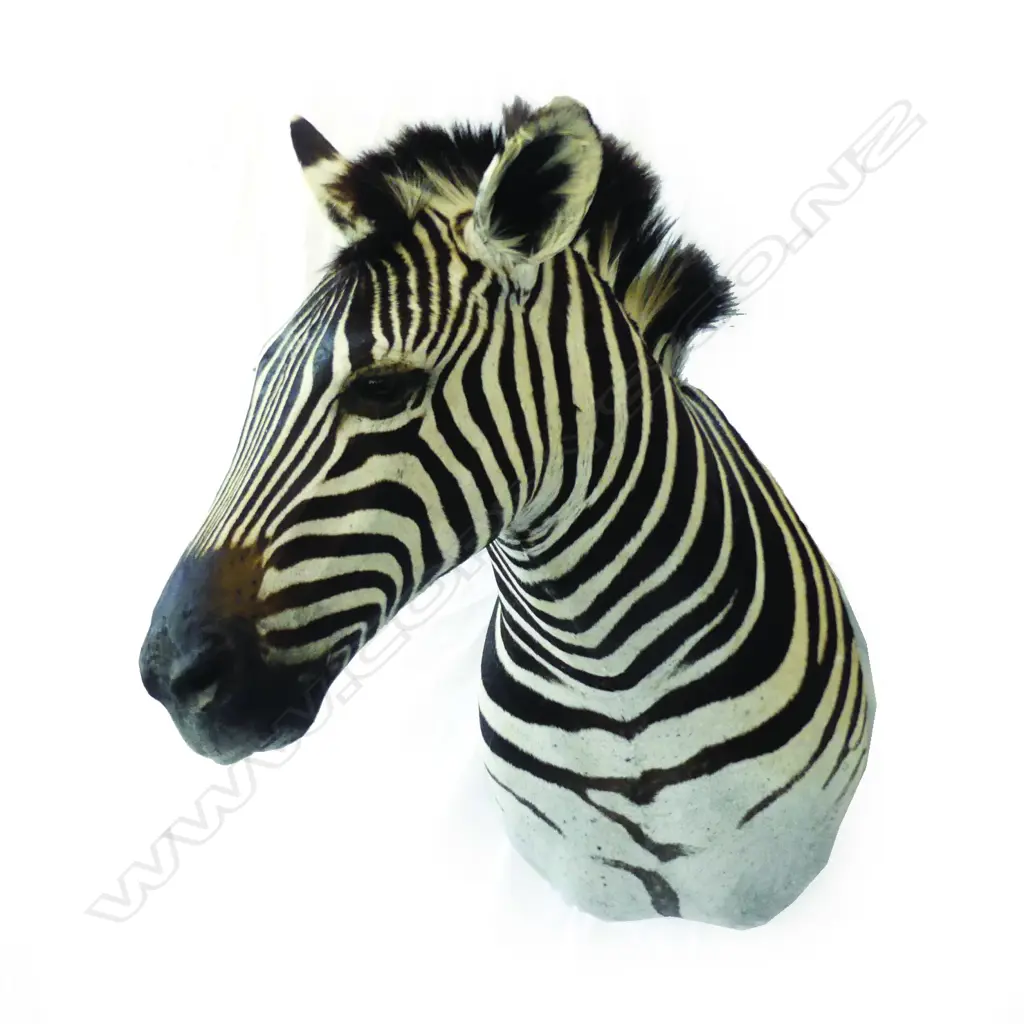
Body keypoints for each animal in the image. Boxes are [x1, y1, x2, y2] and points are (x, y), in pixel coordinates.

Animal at [140, 96, 875, 928]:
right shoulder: (583, 877)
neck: (612, 684)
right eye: (261, 377)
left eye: (382, 388)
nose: (169, 679)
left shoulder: (763, 873)